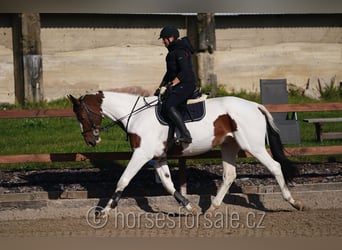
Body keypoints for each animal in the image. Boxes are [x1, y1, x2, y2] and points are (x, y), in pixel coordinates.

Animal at [68, 90, 304, 215]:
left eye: (81, 115)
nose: (91, 140)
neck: (135, 116)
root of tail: (255, 106)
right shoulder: (158, 157)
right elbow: (167, 183)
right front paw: (190, 207)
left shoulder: (142, 155)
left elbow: (123, 180)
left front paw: (104, 211)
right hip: (229, 146)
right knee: (229, 175)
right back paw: (211, 209)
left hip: (253, 146)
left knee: (275, 167)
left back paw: (294, 202)